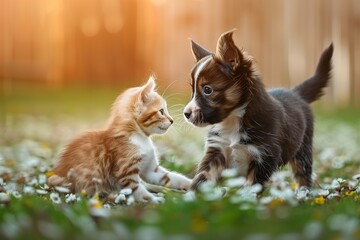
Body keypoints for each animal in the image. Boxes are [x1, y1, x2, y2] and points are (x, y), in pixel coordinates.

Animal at [50, 76, 194, 202]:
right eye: (161, 111)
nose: (172, 120)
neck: (140, 138)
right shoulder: (124, 174)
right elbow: (138, 191)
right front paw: (154, 200)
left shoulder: (151, 171)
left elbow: (172, 177)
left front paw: (191, 184)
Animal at [184, 30, 334, 190]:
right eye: (193, 90)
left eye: (207, 90)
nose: (186, 114)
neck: (233, 120)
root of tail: (296, 93)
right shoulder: (217, 149)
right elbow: (203, 176)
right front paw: (194, 193)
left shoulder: (264, 156)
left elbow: (252, 184)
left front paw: (248, 195)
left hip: (303, 149)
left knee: (303, 175)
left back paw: (303, 192)